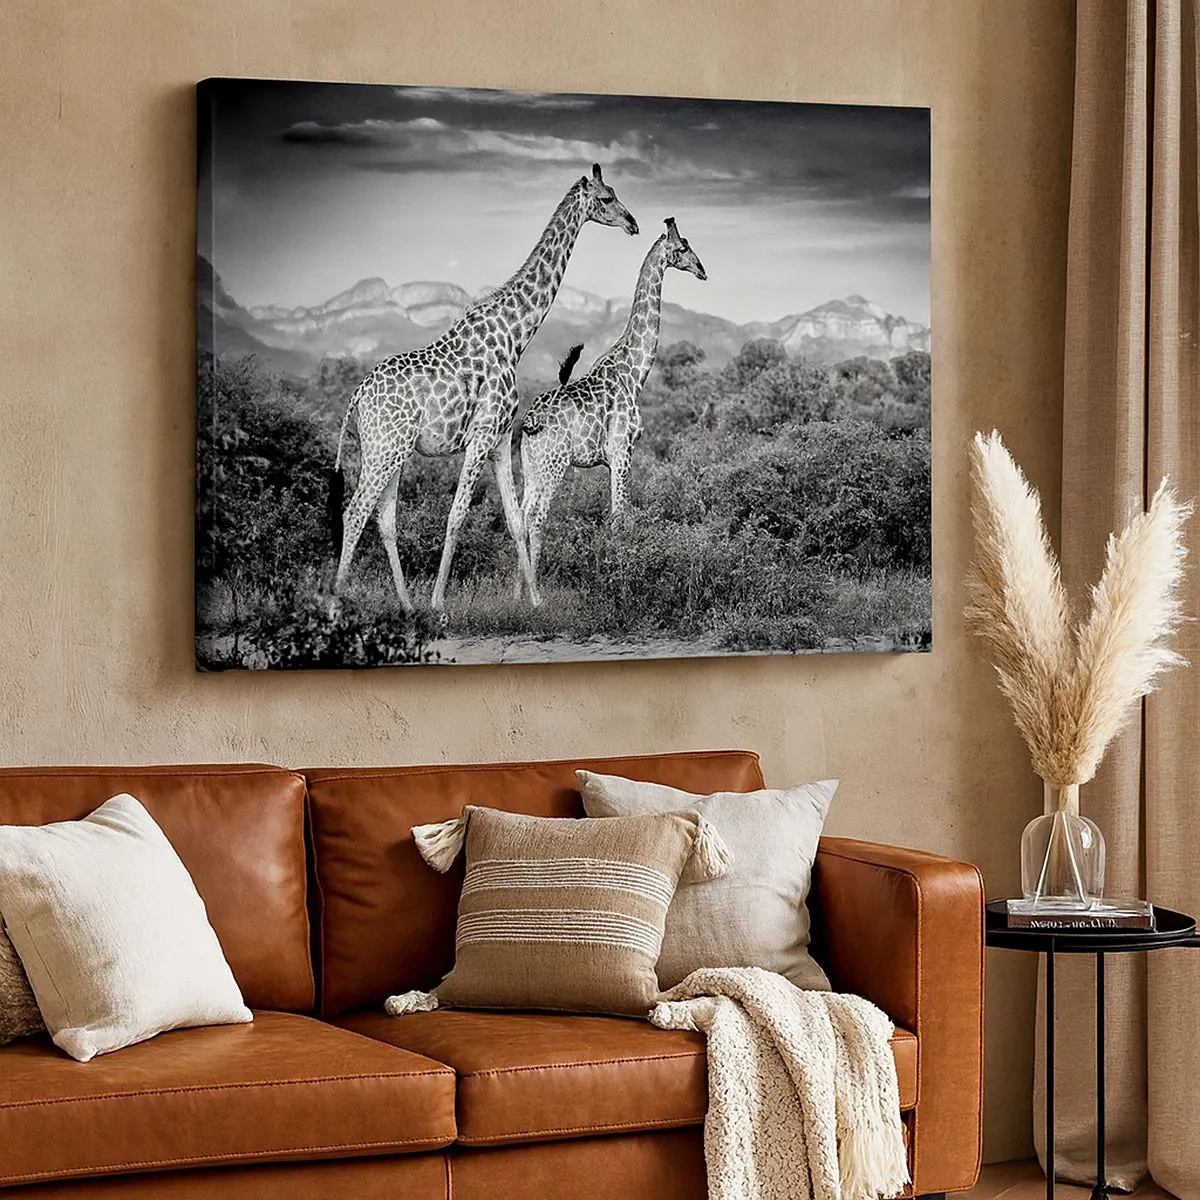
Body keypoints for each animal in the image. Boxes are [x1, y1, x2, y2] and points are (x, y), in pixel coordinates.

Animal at [331, 164, 638, 612]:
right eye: (606, 198)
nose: (633, 223)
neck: (515, 335)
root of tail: (356, 398)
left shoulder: (500, 440)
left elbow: (515, 520)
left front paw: (535, 601)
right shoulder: (480, 435)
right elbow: (457, 515)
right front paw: (439, 604)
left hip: (388, 450)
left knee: (383, 517)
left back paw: (406, 605)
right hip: (386, 447)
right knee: (355, 511)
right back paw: (335, 604)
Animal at [517, 218, 706, 600]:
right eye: (683, 248)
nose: (702, 270)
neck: (635, 371)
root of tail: (531, 421)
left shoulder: (610, 460)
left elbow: (616, 514)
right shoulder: (622, 450)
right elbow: (619, 517)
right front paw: (620, 581)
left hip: (530, 465)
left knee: (521, 514)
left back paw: (515, 593)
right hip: (554, 464)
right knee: (536, 517)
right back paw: (536, 596)